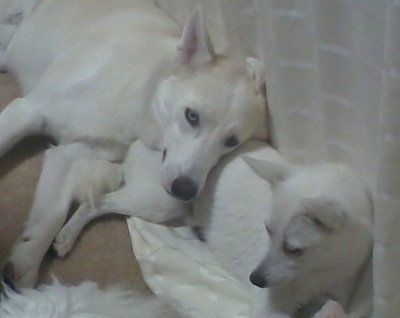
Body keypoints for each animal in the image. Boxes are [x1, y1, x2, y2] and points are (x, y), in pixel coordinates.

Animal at [0, 0, 268, 288]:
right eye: (192, 116)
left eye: (231, 141)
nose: (184, 191)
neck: (142, 93)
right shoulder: (28, 110)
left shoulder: (72, 151)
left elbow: (53, 212)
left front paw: (27, 261)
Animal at [46, 140, 372, 316]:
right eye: (268, 231)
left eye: (293, 249)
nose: (254, 279)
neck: (318, 270)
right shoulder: (269, 308)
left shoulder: (339, 292)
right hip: (161, 201)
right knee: (97, 203)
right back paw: (66, 236)